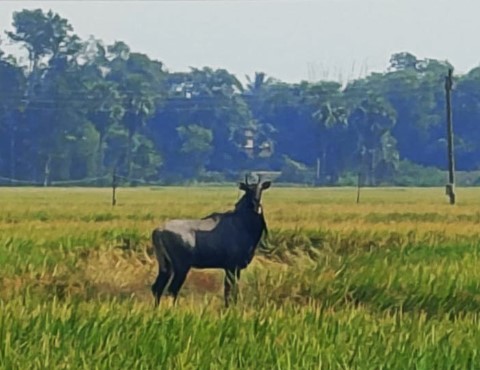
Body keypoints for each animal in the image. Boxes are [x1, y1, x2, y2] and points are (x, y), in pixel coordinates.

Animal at [150, 176, 270, 306]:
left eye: (260, 189)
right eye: (248, 189)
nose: (255, 204)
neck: (244, 223)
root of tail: (158, 231)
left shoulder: (231, 267)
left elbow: (230, 290)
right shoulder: (232, 266)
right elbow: (230, 290)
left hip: (165, 265)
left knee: (157, 287)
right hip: (181, 266)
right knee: (172, 289)